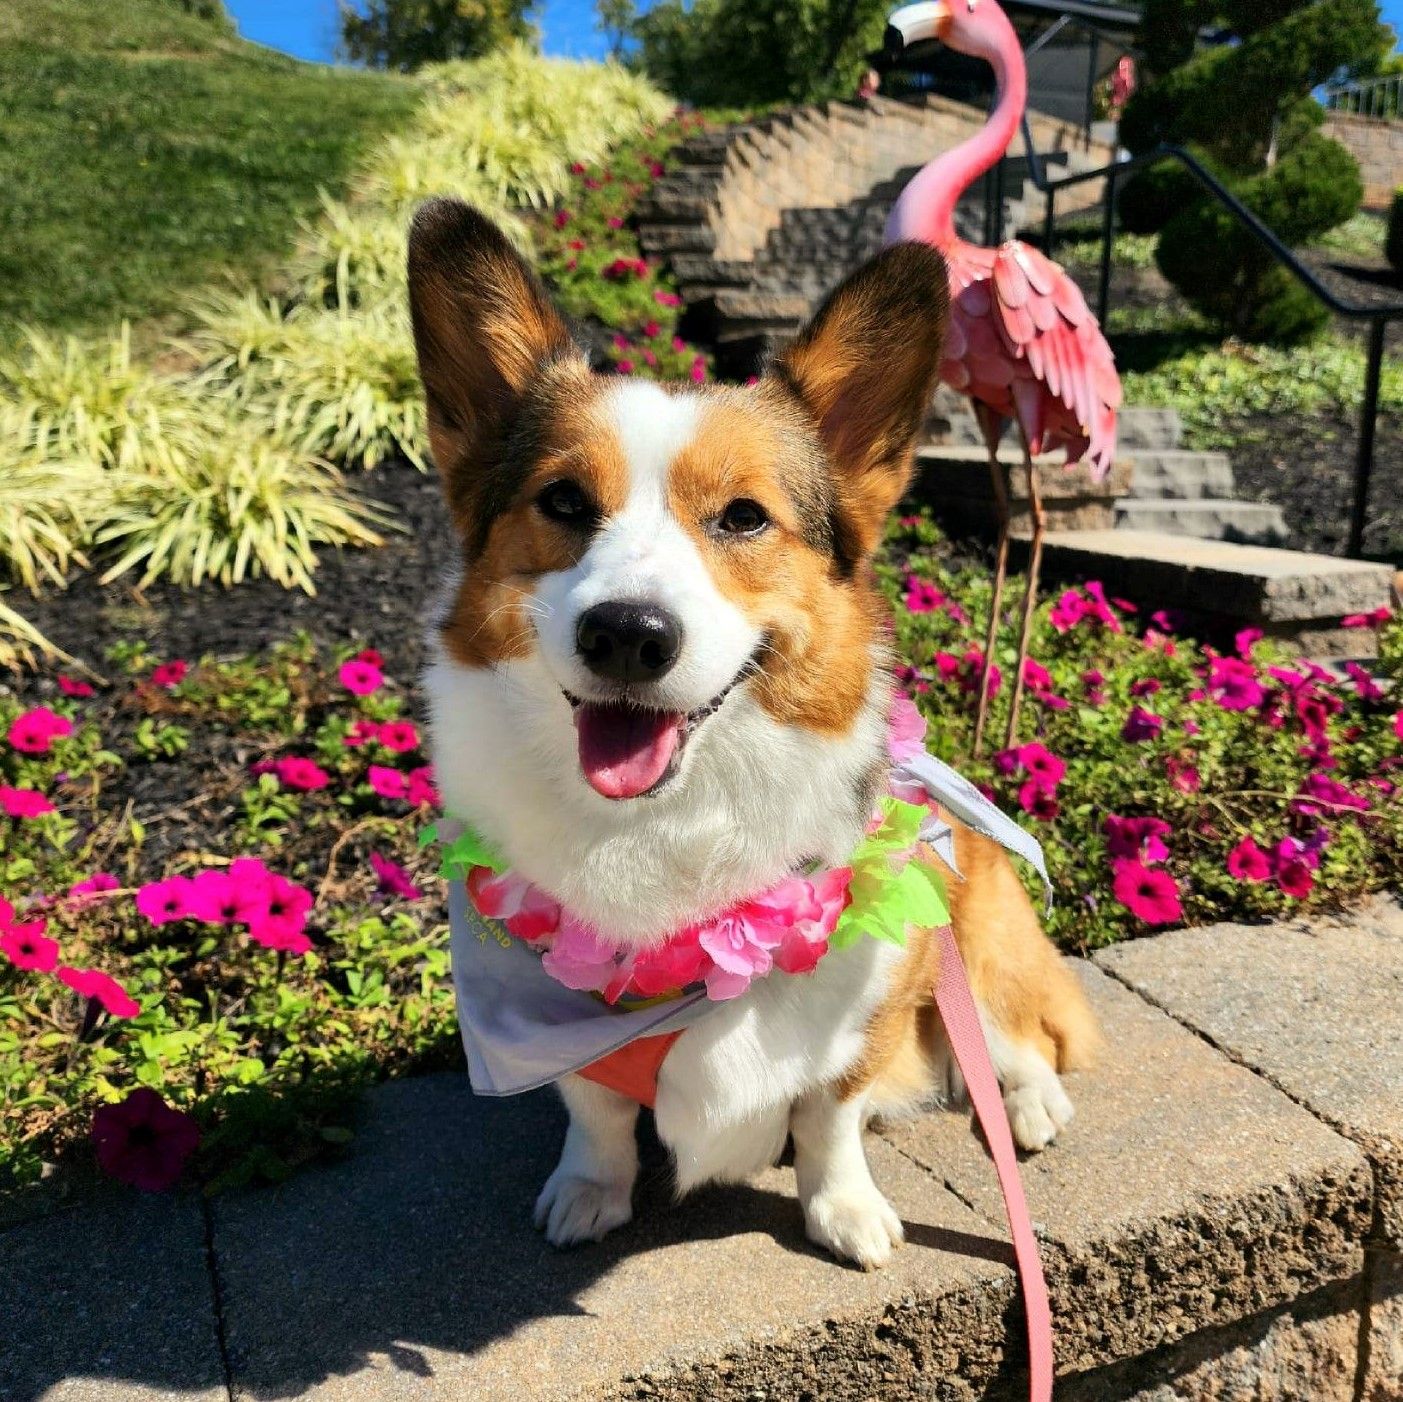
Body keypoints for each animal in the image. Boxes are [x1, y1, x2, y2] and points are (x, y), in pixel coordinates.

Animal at [406, 200, 1094, 1274]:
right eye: (562, 501)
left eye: (741, 517)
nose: (626, 634)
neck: (671, 821)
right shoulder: (562, 1044)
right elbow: (597, 1112)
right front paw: (587, 1191)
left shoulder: (874, 992)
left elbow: (828, 1115)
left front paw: (844, 1212)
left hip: (977, 940)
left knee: (1019, 1037)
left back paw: (1028, 1108)